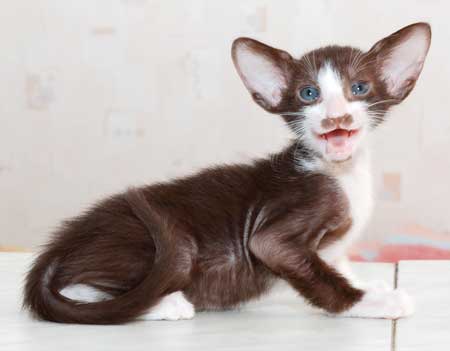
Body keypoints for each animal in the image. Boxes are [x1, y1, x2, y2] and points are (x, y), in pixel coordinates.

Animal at [22, 22, 430, 324]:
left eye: (359, 88)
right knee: (81, 289)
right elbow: (316, 275)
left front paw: (371, 288)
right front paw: (372, 302)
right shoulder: (276, 237)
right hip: (166, 247)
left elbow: (336, 266)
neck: (343, 172)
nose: (335, 117)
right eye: (309, 94)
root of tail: (58, 246)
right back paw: (168, 303)